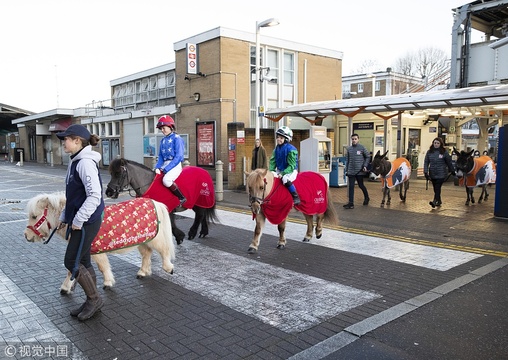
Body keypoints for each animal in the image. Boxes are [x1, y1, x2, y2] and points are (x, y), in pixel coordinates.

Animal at [24, 193, 177, 294]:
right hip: (144, 239)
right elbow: (73, 270)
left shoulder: (95, 252)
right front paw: (66, 288)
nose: (26, 236)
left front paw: (108, 283)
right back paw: (143, 272)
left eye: (34, 216)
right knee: (147, 254)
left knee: (163, 250)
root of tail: (155, 203)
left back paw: (168, 268)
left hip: (155, 239)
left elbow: (102, 267)